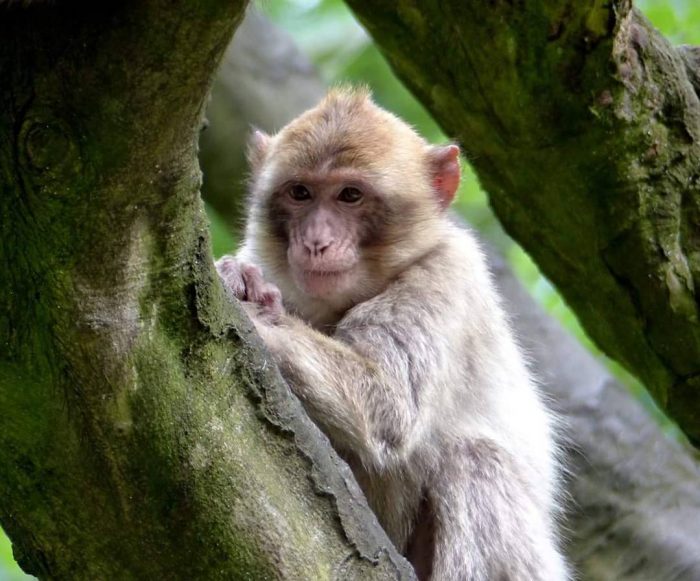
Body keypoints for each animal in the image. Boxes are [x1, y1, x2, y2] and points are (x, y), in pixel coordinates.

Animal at [217, 86, 568, 580]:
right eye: (300, 193)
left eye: (350, 195)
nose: (316, 241)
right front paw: (236, 279)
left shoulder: (447, 276)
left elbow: (389, 401)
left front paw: (257, 311)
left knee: (477, 462)